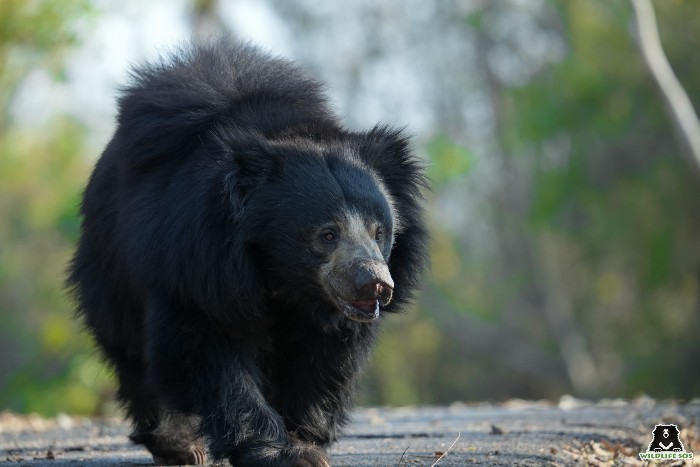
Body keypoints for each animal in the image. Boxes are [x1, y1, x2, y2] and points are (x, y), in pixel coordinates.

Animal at [67, 40, 426, 467]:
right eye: (326, 234)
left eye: (379, 232)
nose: (375, 284)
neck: (285, 278)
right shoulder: (195, 264)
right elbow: (205, 349)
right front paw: (278, 452)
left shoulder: (328, 312)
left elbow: (324, 359)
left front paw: (303, 440)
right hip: (111, 262)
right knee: (132, 350)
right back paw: (179, 446)